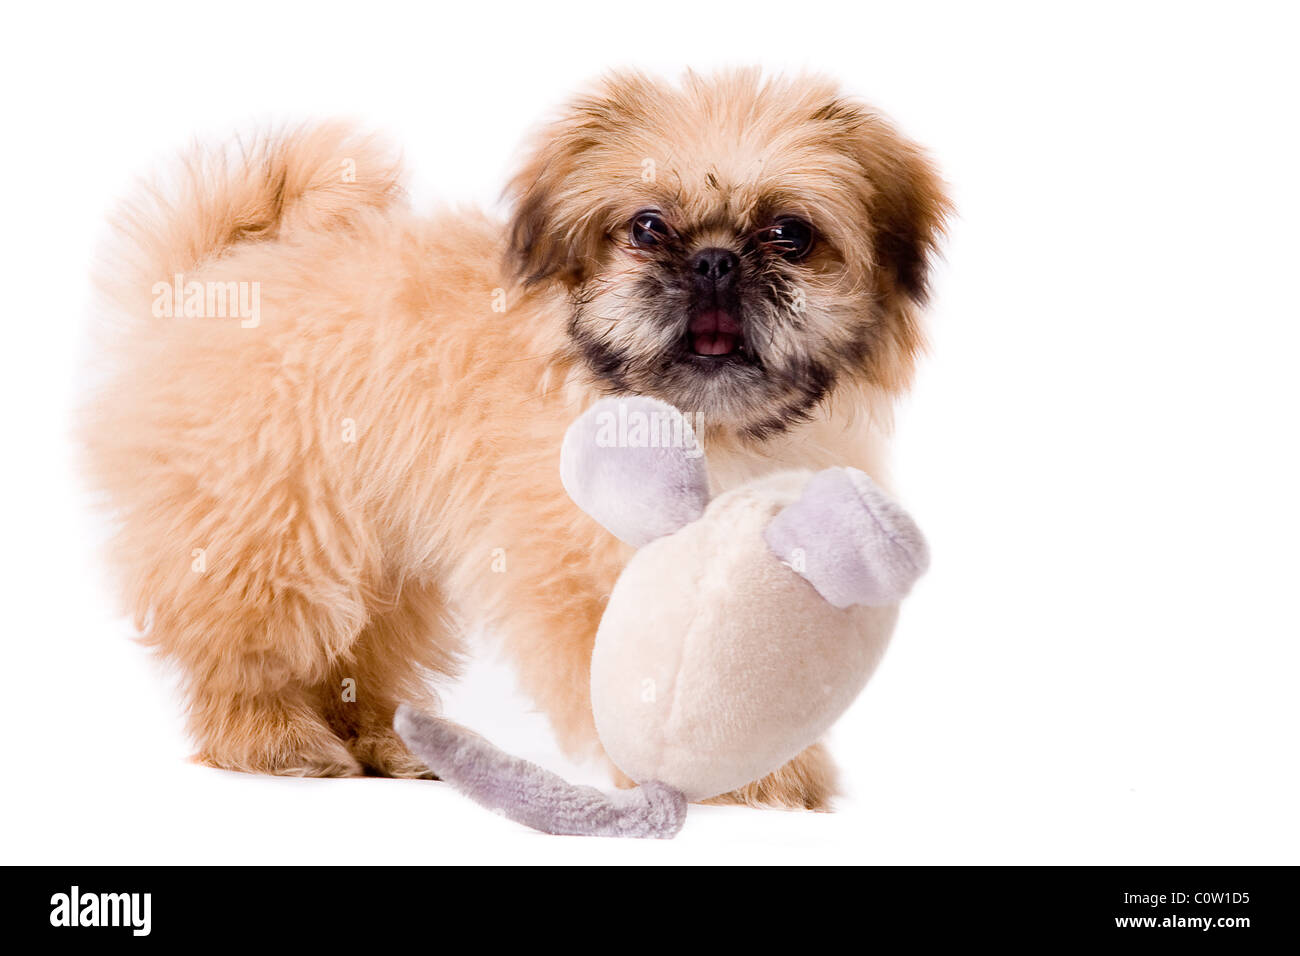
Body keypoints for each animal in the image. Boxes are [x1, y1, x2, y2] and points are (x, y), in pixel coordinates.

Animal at [83, 70, 956, 811]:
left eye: (790, 234)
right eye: (647, 228)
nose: (714, 262)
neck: (696, 423)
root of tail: (209, 276)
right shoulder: (582, 569)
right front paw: (742, 781)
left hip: (377, 560)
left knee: (358, 659)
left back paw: (384, 746)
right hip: (275, 536)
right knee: (248, 653)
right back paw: (271, 740)